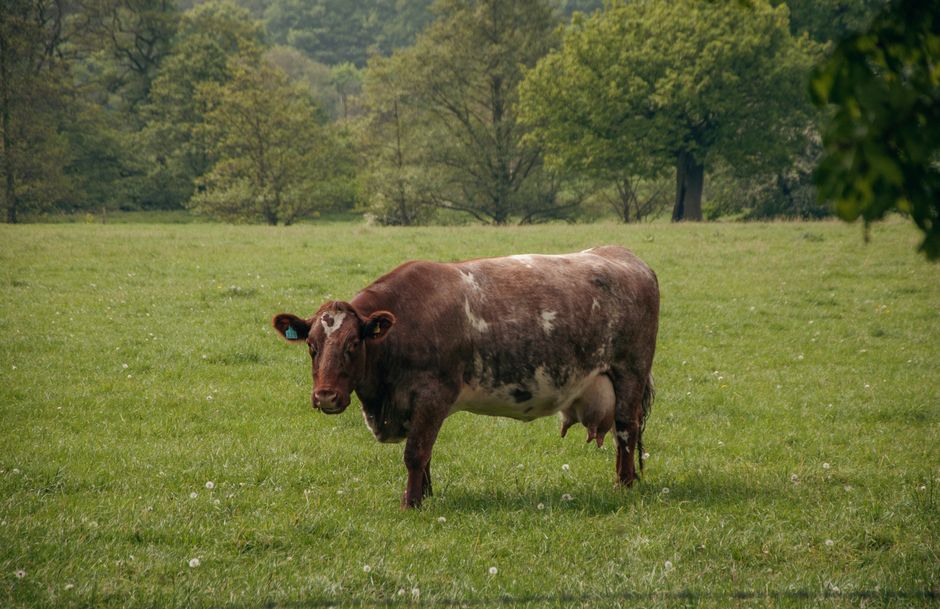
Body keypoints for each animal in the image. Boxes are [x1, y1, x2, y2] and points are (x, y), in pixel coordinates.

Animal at [272, 245, 659, 508]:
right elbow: (425, 453)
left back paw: (623, 483)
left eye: (353, 344)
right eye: (311, 346)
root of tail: (623, 255)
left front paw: (411, 503)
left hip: (630, 372)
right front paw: (425, 495)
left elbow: (415, 452)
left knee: (626, 428)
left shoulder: (432, 395)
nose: (326, 396)